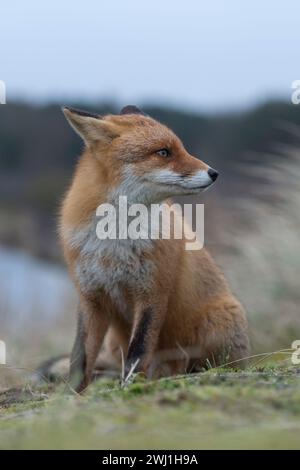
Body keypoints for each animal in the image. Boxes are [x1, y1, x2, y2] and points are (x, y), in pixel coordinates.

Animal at [58, 103, 248, 392]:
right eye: (163, 152)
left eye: (180, 148)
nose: (214, 173)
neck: (115, 241)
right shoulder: (91, 297)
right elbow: (79, 359)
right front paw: (71, 396)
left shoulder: (153, 292)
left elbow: (138, 350)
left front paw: (129, 388)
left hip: (217, 325)